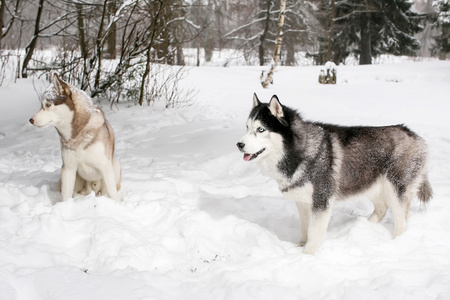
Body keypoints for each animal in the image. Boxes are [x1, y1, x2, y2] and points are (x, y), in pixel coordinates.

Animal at [29, 74, 121, 202]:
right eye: (41, 105)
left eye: (48, 105)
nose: (31, 120)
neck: (77, 136)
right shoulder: (68, 169)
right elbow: (66, 195)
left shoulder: (105, 167)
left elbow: (113, 194)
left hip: (115, 165)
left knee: (105, 190)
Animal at [239, 94, 432, 253]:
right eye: (247, 127)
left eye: (261, 129)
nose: (239, 144)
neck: (299, 152)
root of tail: (414, 135)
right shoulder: (303, 202)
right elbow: (305, 228)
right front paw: (300, 246)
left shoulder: (321, 201)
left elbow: (314, 233)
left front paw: (307, 255)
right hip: (367, 182)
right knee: (382, 208)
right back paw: (364, 227)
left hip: (395, 189)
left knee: (401, 221)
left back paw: (396, 241)